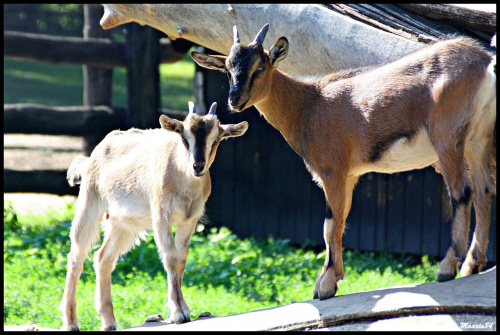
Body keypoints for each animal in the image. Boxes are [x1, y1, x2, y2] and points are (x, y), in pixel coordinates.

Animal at [59, 101, 247, 330]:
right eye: (184, 137)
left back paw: (109, 320)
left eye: (217, 139)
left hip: (122, 224)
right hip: (89, 203)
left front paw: (181, 309)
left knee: (103, 257)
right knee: (76, 255)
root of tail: (94, 154)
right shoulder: (161, 215)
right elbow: (171, 257)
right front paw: (178, 313)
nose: (198, 166)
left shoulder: (189, 220)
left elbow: (181, 259)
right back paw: (71, 322)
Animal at [192, 24, 496, 302]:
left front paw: (325, 285)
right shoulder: (350, 175)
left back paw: (447, 267)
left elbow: (329, 225)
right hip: (477, 139)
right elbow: (340, 220)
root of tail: (485, 62)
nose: (235, 99)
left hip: (447, 137)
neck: (309, 106)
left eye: (261, 66)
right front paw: (334, 277)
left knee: (462, 192)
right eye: (227, 68)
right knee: (484, 191)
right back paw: (472, 264)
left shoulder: (332, 172)